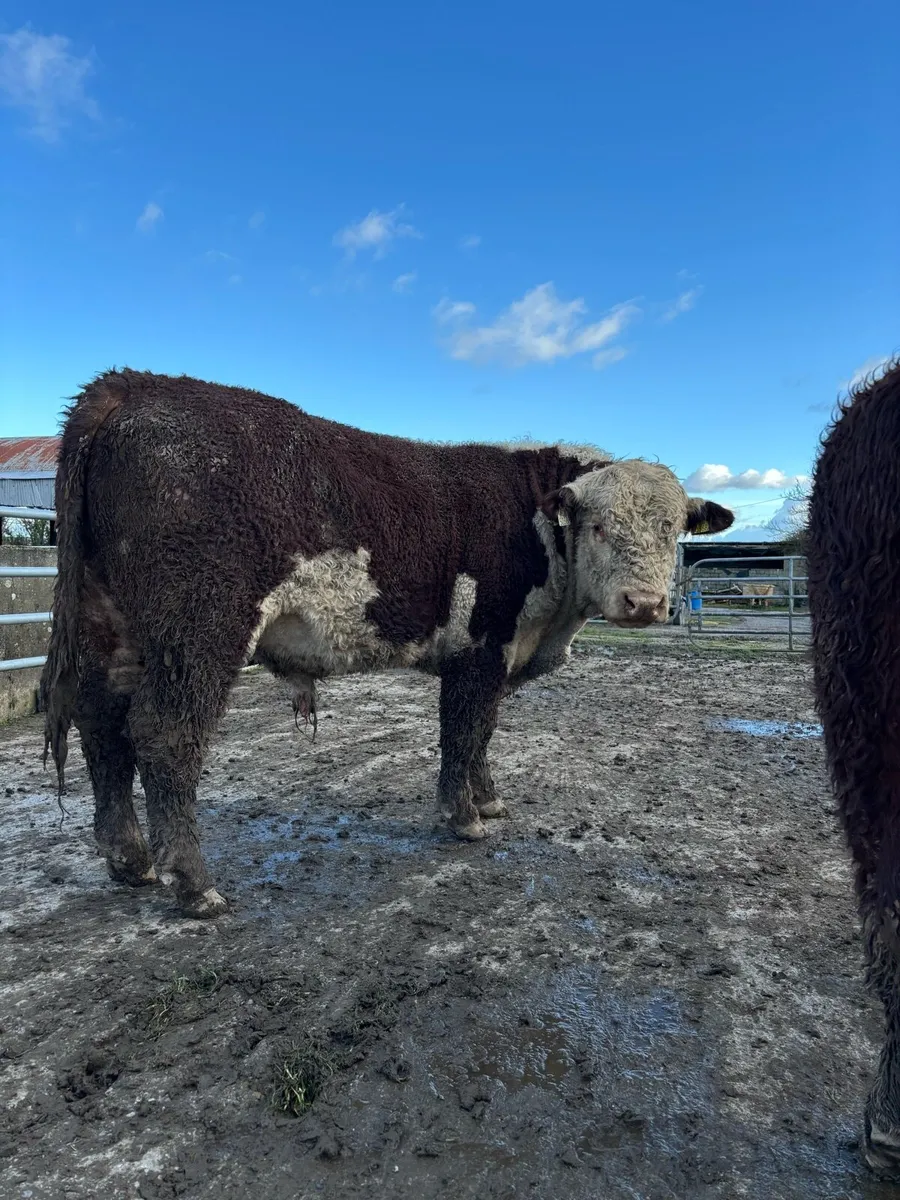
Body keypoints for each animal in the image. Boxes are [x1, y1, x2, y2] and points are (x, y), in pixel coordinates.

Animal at [41, 369, 733, 918]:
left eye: (673, 528)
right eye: (598, 526)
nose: (645, 604)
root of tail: (133, 384)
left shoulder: (501, 656)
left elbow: (484, 730)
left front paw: (489, 799)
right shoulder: (481, 646)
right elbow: (464, 729)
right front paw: (464, 817)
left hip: (114, 626)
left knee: (103, 723)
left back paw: (130, 859)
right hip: (200, 628)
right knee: (164, 733)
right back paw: (194, 885)